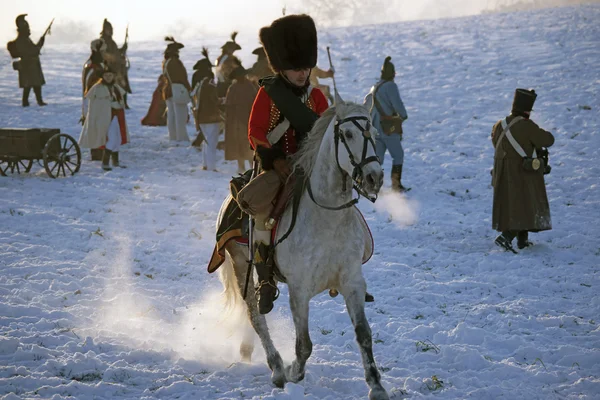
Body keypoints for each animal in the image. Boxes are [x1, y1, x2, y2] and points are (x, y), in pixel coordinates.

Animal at [217, 100, 390, 400]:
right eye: (347, 135)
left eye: (373, 133)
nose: (373, 177)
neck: (327, 219)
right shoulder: (299, 290)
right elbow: (304, 344)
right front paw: (293, 372)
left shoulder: (352, 282)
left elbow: (364, 334)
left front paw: (376, 386)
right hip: (240, 264)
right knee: (255, 315)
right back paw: (276, 368)